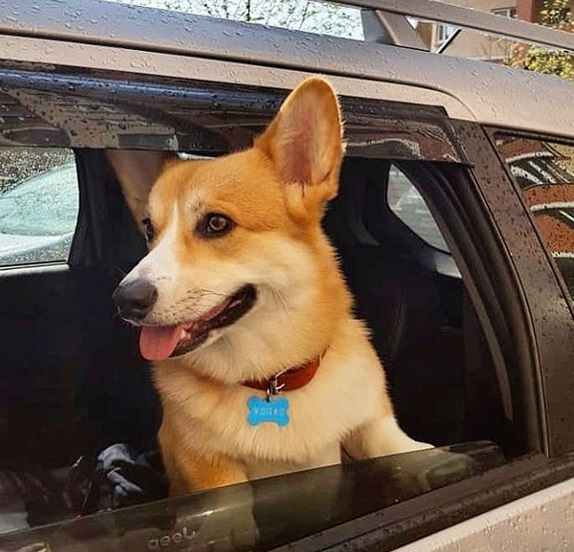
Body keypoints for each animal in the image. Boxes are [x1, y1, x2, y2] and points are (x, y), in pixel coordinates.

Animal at [109, 76, 432, 496]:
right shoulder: (209, 467)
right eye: (150, 229)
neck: (272, 380)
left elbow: (403, 447)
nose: (125, 300)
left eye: (217, 223)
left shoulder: (373, 425)